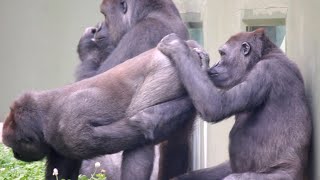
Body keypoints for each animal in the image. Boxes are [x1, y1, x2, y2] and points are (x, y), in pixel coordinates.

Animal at [1, 41, 208, 180]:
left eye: (15, 147)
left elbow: (142, 125)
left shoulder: (70, 126)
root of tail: (188, 44)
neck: (43, 115)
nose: (15, 155)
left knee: (144, 128)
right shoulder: (58, 144)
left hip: (165, 68)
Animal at [159, 28, 312, 179]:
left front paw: (176, 45)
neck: (262, 56)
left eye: (222, 54)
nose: (216, 64)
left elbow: (216, 105)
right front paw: (201, 63)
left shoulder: (264, 70)